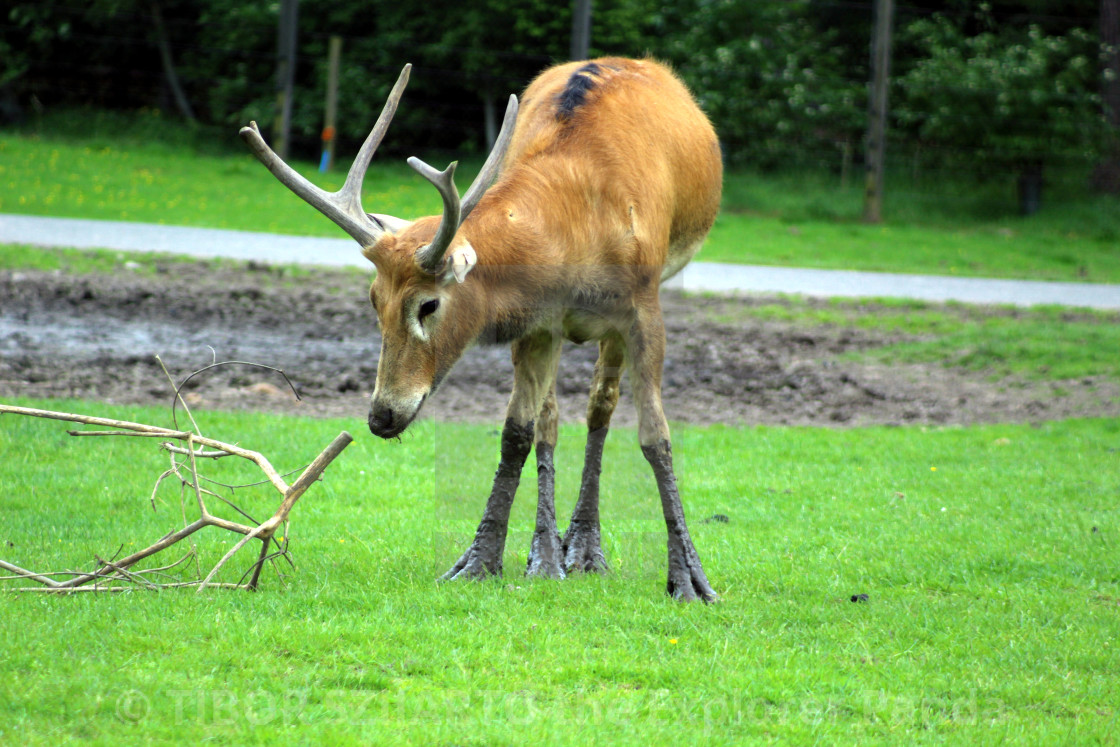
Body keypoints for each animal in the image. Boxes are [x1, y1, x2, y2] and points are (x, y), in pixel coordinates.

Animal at [240, 57, 721, 600]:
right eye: (373, 299)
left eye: (428, 304)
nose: (382, 416)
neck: (580, 234)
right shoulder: (539, 320)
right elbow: (516, 431)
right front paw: (480, 560)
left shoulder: (642, 306)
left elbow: (656, 435)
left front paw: (690, 580)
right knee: (551, 419)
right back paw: (550, 553)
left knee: (601, 403)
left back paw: (584, 548)